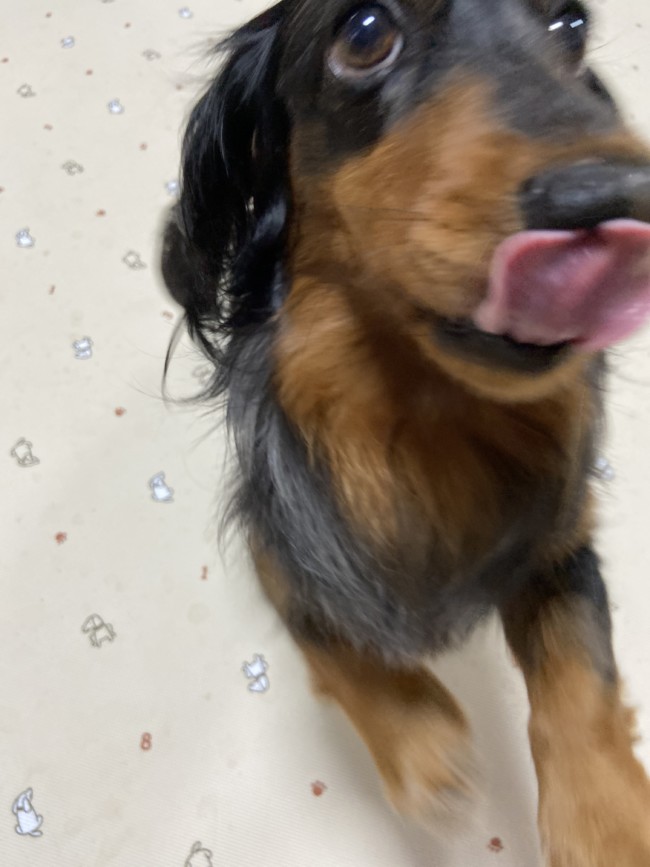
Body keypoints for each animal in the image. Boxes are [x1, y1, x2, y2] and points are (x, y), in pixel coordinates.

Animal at [161, 1, 650, 863]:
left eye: (571, 26)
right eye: (364, 33)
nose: (620, 196)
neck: (426, 417)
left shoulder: (559, 539)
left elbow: (580, 674)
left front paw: (608, 819)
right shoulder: (285, 549)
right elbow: (339, 644)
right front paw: (426, 748)